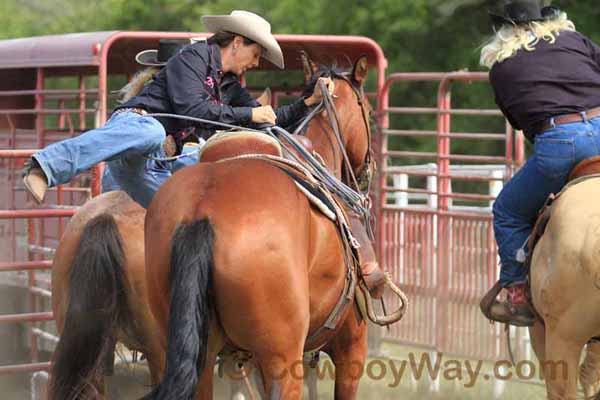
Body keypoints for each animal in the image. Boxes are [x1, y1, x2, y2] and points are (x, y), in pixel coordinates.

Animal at [140, 54, 404, 398]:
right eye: (369, 113)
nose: (366, 172)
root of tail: (203, 213)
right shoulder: (351, 349)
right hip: (282, 357)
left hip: (191, 353)